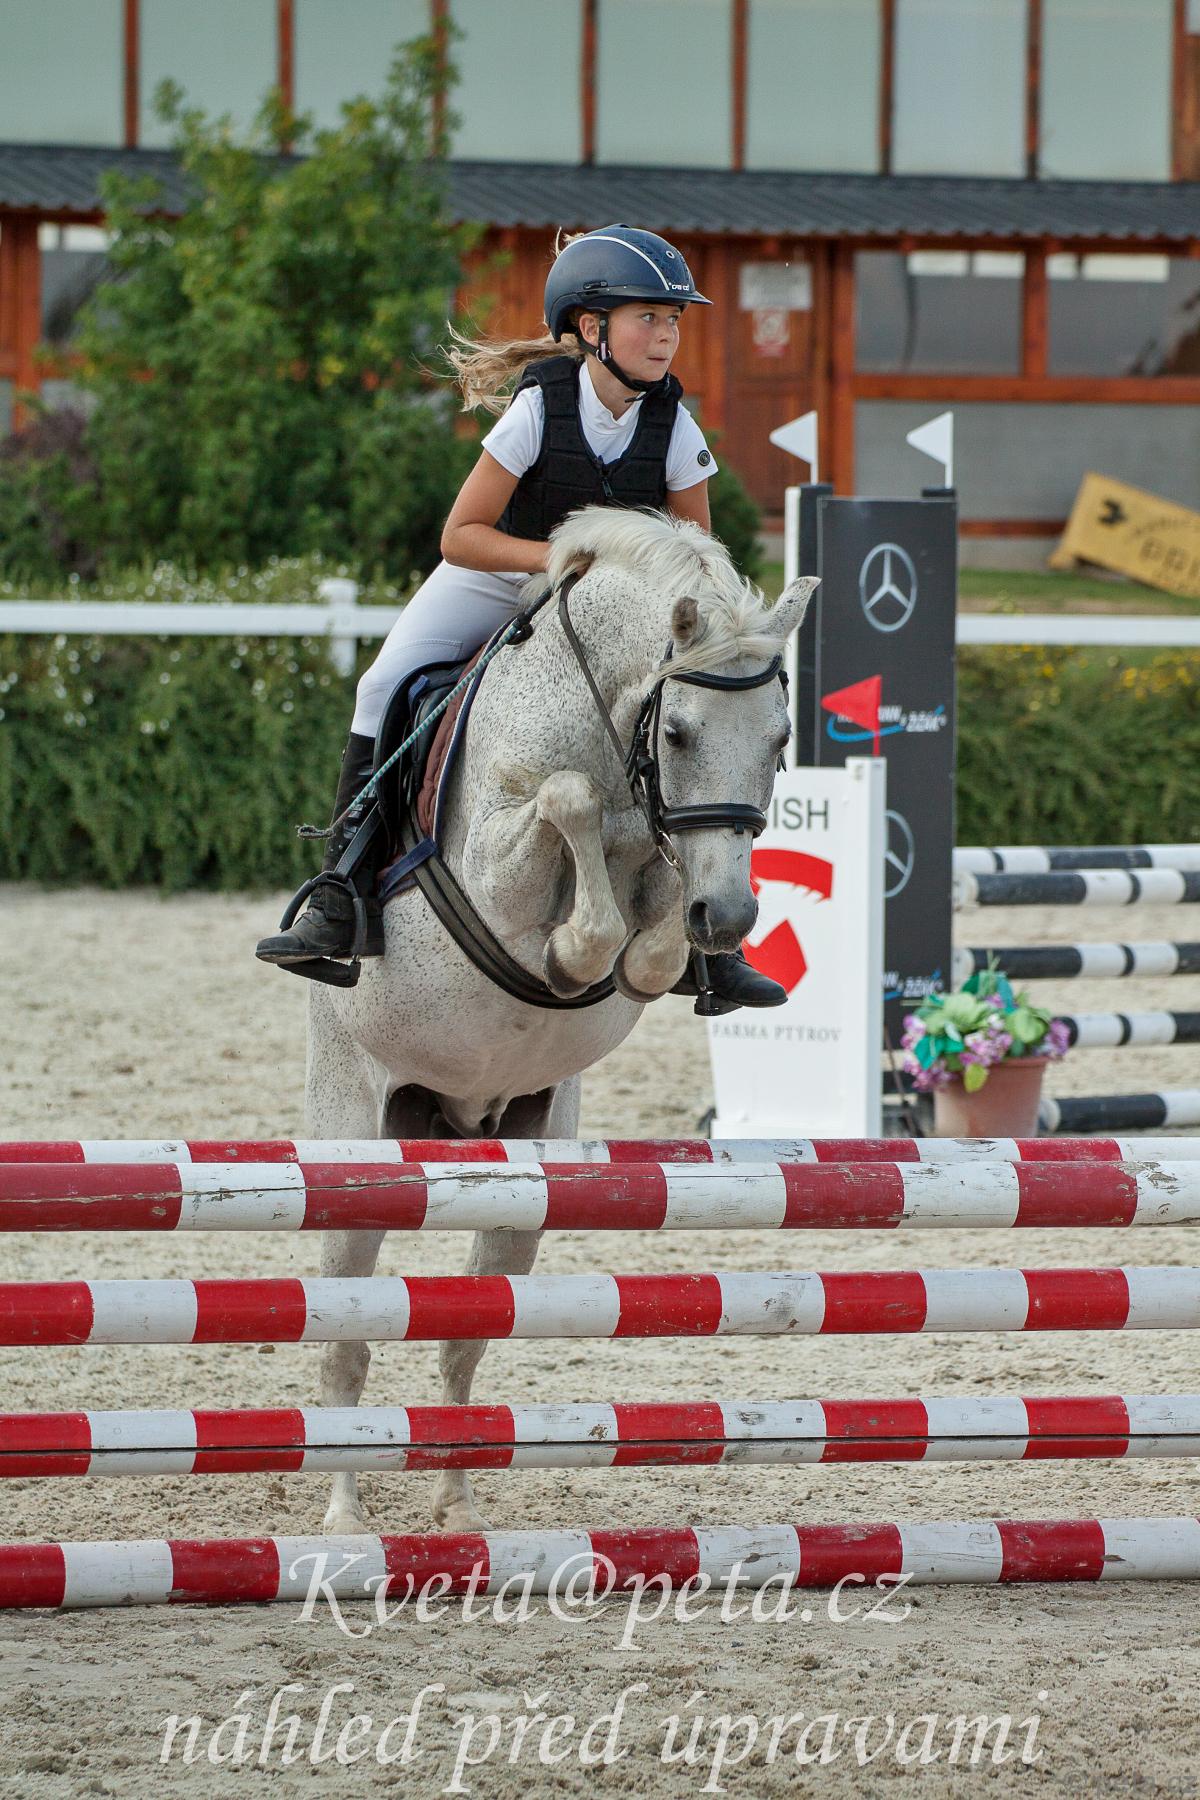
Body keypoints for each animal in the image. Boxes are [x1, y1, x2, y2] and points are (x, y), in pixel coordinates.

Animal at [306, 504, 816, 1534]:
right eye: (682, 733)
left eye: (779, 737)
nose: (730, 918)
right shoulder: (495, 864)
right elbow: (569, 805)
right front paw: (577, 947)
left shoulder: (669, 863)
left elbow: (647, 929)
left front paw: (652, 948)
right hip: (356, 1149)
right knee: (347, 1338)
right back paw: (345, 1518)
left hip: (521, 1180)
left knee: (465, 1337)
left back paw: (459, 1506)